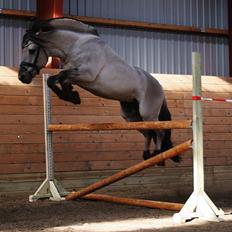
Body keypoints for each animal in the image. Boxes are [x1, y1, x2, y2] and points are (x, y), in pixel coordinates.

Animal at [18, 17, 181, 164]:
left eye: (31, 50)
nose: (22, 76)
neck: (75, 46)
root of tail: (159, 87)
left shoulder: (86, 74)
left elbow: (56, 78)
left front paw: (72, 95)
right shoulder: (77, 76)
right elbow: (59, 79)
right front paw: (72, 96)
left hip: (148, 113)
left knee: (159, 131)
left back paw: (158, 156)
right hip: (131, 116)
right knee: (148, 132)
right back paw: (147, 155)